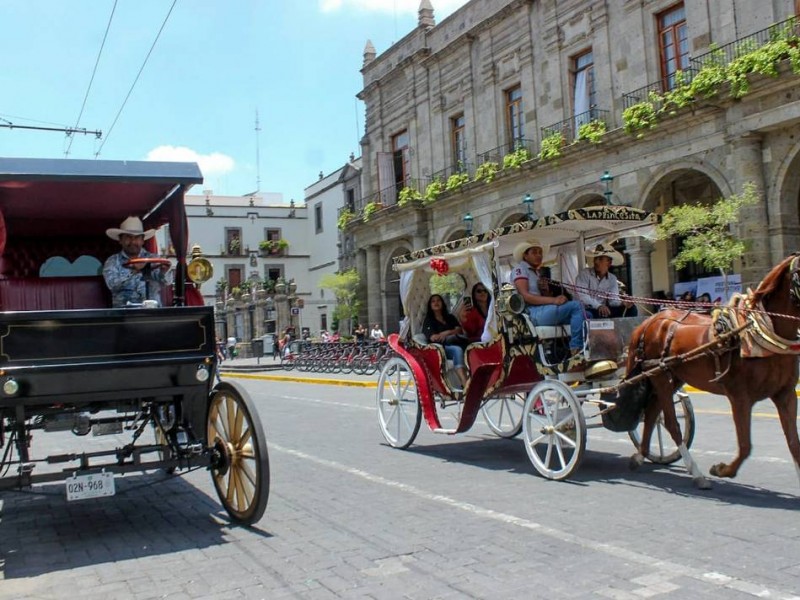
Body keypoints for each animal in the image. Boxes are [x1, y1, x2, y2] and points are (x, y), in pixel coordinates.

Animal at [624, 255, 800, 490]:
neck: (764, 335)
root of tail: (648, 322)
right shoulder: (740, 397)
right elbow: (745, 445)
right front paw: (722, 470)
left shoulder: (785, 395)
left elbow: (794, 444)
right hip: (659, 376)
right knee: (671, 423)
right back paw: (696, 474)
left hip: (672, 377)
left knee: (652, 413)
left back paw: (640, 455)